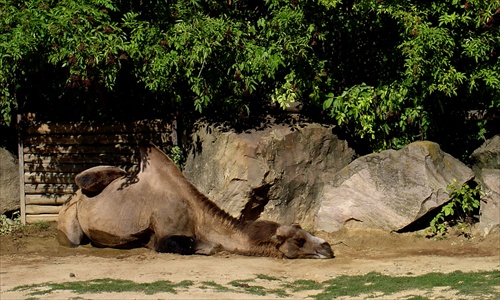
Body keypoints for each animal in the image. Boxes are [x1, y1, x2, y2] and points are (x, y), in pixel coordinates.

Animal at [56, 142, 334, 258]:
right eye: (299, 241)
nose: (328, 247)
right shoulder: (166, 233)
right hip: (70, 222)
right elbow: (207, 246)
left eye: (305, 232)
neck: (197, 215)